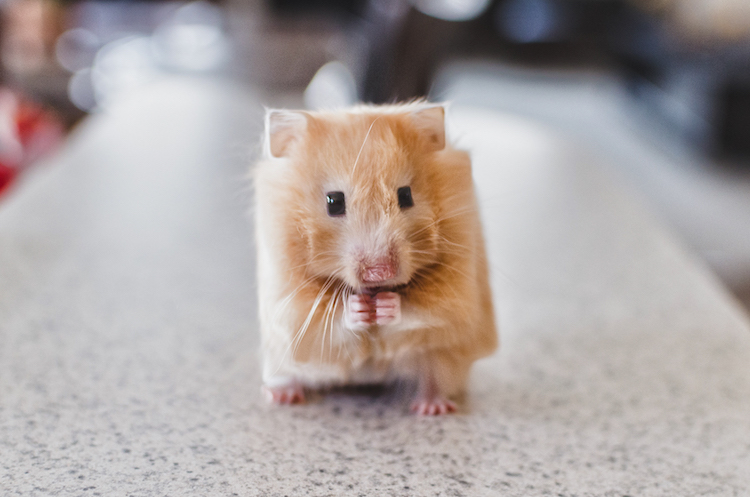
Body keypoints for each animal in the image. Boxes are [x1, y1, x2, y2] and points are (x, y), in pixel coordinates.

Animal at [253, 102, 498, 415]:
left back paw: (432, 407)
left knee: (433, 377)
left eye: (405, 195)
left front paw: (385, 306)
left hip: (445, 362)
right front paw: (359, 308)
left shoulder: (457, 297)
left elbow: (426, 312)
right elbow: (327, 319)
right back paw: (281, 395)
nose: (380, 273)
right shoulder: (288, 302)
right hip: (277, 359)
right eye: (334, 201)